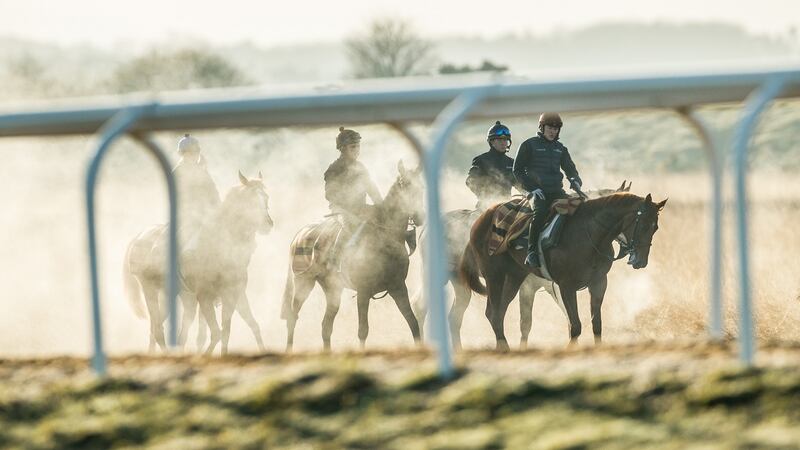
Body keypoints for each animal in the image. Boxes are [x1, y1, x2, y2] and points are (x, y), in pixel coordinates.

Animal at [123, 171, 274, 355]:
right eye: (250, 199)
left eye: (266, 197)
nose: (268, 224)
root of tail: (139, 236)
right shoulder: (205, 297)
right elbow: (216, 333)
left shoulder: (234, 294)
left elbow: (235, 329)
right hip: (150, 290)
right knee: (158, 330)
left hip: (173, 295)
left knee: (161, 330)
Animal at [281, 161, 425, 351]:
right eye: (406, 185)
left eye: (421, 187)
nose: (421, 216)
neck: (384, 239)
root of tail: (300, 234)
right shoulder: (364, 292)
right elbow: (363, 330)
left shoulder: (398, 287)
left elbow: (413, 323)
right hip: (303, 283)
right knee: (293, 317)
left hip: (332, 290)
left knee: (326, 326)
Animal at [413, 181, 632, 350]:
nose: (627, 248)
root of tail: (427, 228)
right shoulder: (530, 288)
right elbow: (526, 323)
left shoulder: (553, 287)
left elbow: (568, 320)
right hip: (435, 276)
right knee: (421, 307)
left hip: (460, 284)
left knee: (454, 318)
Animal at [460, 191, 666, 350]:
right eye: (643, 224)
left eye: (655, 227)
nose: (640, 261)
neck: (589, 235)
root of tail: (480, 219)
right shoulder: (566, 287)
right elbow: (575, 325)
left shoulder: (598, 283)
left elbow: (596, 324)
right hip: (494, 276)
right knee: (493, 313)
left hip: (514, 277)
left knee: (499, 312)